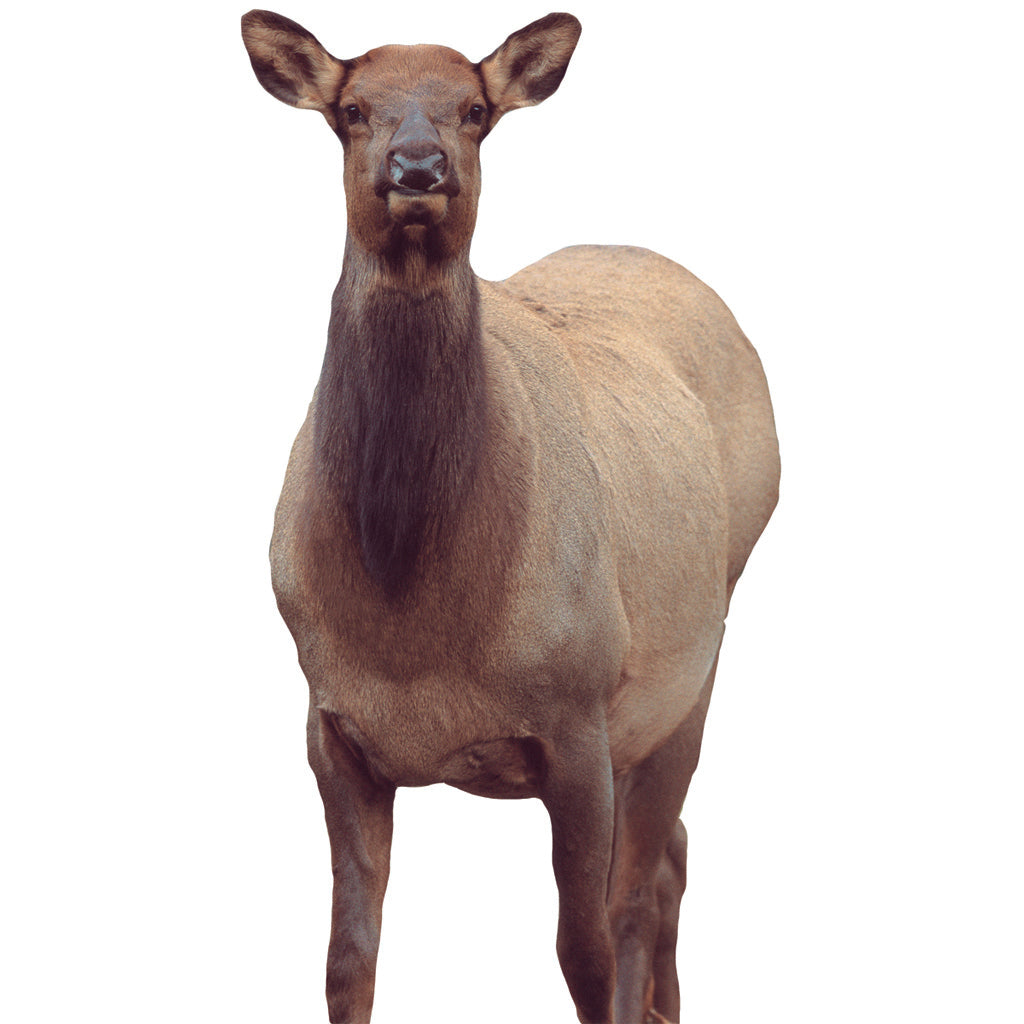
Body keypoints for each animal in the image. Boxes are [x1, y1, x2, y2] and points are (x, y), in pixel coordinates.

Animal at [241, 9, 779, 1023]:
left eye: (477, 110)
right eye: (351, 109)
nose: (418, 168)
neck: (414, 626)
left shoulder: (577, 717)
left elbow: (585, 950)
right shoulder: (330, 726)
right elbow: (345, 962)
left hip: (691, 666)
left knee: (642, 887)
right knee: (676, 855)